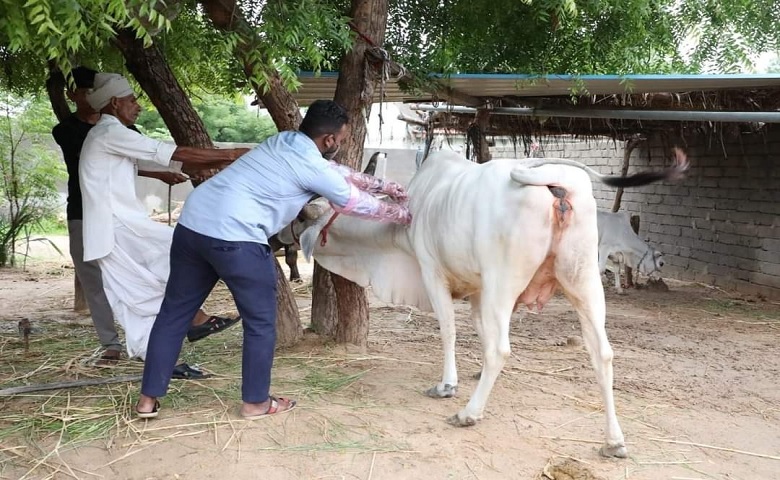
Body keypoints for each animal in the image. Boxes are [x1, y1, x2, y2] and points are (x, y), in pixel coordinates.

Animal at [292, 150, 688, 458]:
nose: (294, 228)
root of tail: (557, 182)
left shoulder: (433, 273)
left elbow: (451, 332)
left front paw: (447, 385)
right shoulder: (479, 291)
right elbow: (479, 330)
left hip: (505, 280)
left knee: (501, 349)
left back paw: (469, 413)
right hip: (584, 281)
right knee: (602, 353)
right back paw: (614, 441)